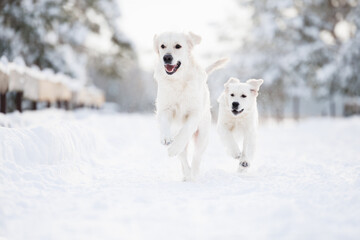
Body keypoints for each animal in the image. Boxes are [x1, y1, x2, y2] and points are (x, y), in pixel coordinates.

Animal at [153, 31, 226, 180]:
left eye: (178, 46)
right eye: (162, 46)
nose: (167, 57)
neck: (178, 80)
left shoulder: (195, 112)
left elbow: (186, 129)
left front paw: (173, 148)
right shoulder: (164, 108)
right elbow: (164, 122)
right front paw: (165, 138)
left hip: (203, 136)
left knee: (196, 157)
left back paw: (194, 175)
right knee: (183, 157)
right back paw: (187, 174)